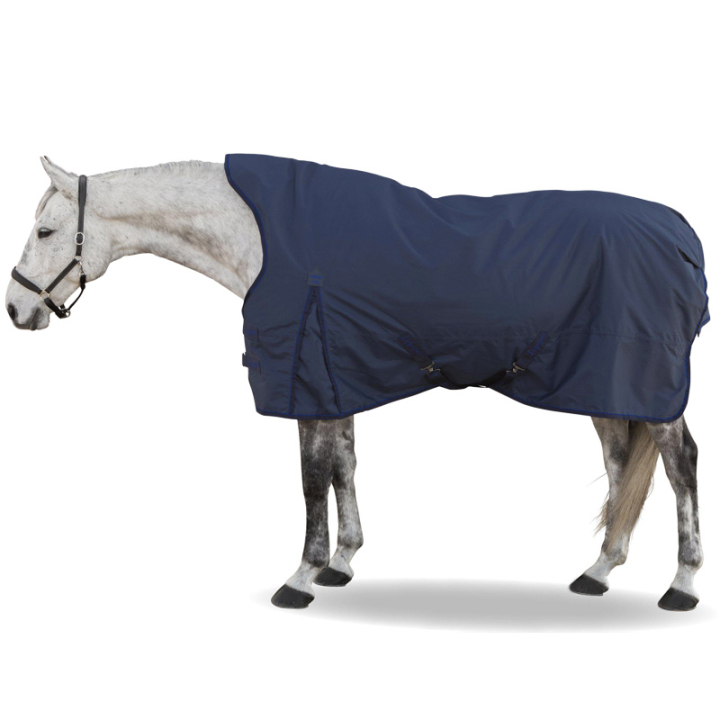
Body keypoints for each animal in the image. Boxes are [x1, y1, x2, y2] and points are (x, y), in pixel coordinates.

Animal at [6, 156, 706, 612]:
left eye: (45, 231)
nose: (16, 309)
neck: (267, 238)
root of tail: (679, 232)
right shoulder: (338, 376)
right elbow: (343, 464)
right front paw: (342, 562)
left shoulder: (308, 381)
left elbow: (312, 477)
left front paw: (301, 575)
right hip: (607, 385)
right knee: (621, 464)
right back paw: (600, 569)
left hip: (647, 385)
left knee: (680, 465)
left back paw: (683, 584)